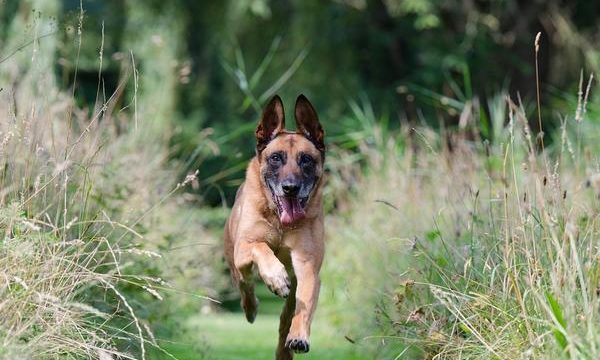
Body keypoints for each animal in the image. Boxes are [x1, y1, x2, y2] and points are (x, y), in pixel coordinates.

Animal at [224, 94, 324, 358]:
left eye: (306, 159)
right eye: (276, 158)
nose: (290, 188)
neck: (281, 223)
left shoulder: (307, 266)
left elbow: (304, 308)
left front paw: (299, 337)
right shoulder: (245, 246)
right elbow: (261, 247)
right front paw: (276, 278)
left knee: (285, 320)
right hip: (235, 261)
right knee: (245, 284)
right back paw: (251, 307)